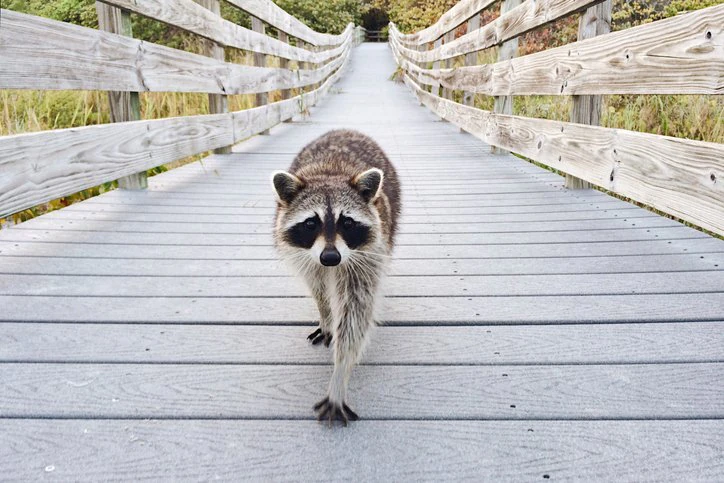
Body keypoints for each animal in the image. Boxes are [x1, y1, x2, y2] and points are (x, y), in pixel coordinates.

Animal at [271, 129, 400, 426]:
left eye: (348, 222)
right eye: (311, 223)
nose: (331, 258)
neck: (331, 173)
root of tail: (345, 130)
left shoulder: (365, 258)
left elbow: (356, 312)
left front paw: (340, 374)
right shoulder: (307, 257)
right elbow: (317, 288)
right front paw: (326, 315)